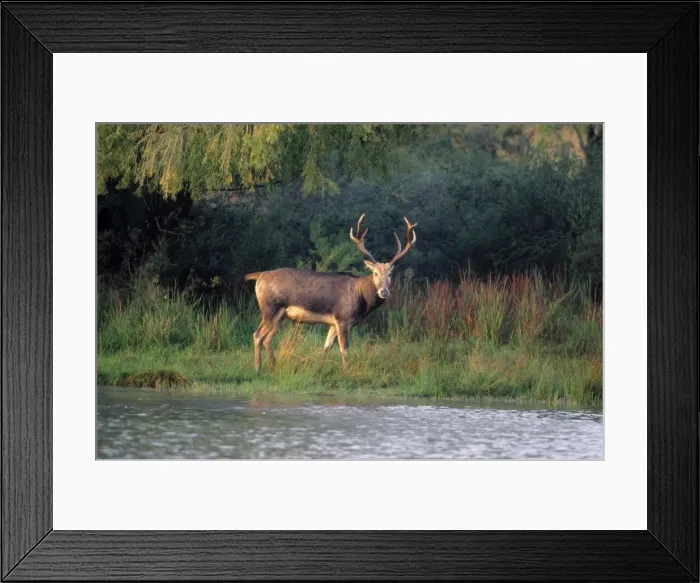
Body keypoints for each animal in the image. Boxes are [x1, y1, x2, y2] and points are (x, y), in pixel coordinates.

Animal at [244, 215, 417, 372]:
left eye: (390, 274)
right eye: (375, 273)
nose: (384, 291)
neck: (360, 296)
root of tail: (260, 276)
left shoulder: (333, 323)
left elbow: (327, 346)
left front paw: (318, 369)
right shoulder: (343, 318)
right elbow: (344, 349)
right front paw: (346, 372)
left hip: (281, 315)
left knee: (268, 338)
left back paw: (273, 366)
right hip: (270, 308)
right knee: (257, 335)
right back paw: (257, 369)